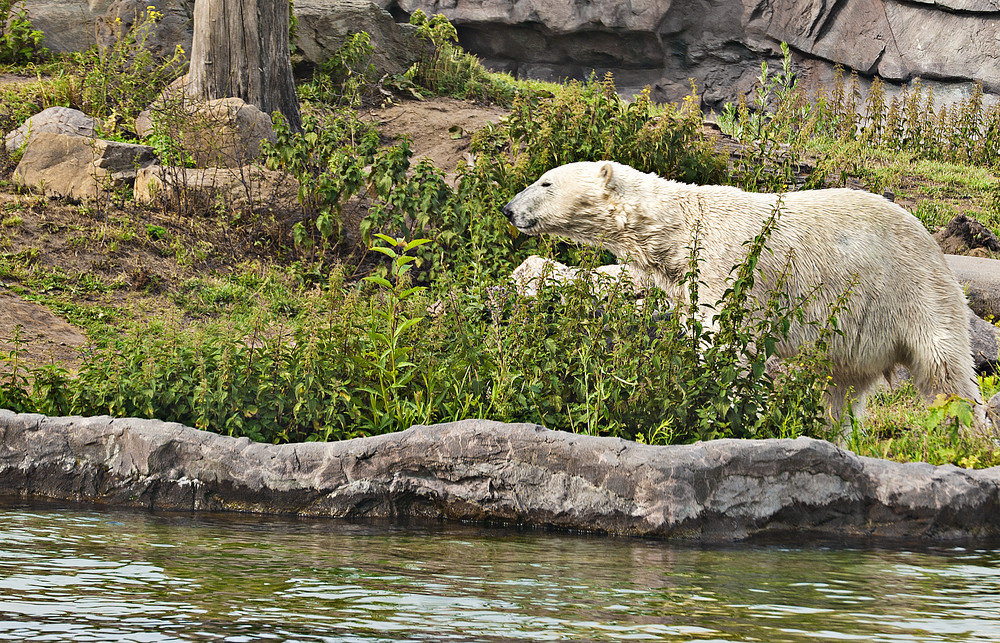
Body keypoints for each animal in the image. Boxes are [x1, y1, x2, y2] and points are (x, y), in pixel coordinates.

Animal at [504, 158, 980, 426]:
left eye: (545, 182)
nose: (508, 209)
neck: (681, 227)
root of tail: (932, 243)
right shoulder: (673, 272)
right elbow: (631, 284)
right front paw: (532, 274)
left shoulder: (728, 265)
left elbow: (727, 341)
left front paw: (730, 409)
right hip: (854, 339)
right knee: (839, 392)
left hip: (914, 290)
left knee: (946, 373)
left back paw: (965, 435)